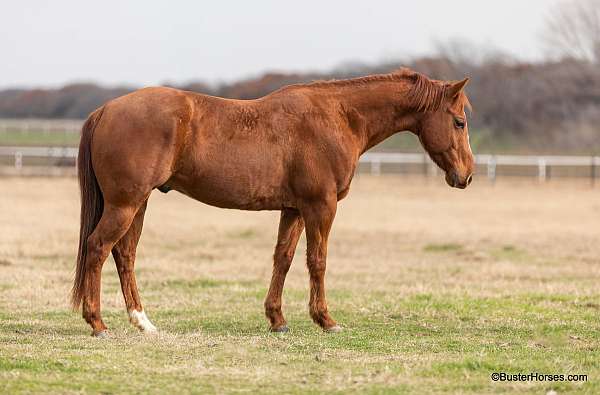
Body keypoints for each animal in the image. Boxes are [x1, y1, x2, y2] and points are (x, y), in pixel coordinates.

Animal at [71, 68, 474, 338]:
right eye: (459, 122)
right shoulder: (320, 206)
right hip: (125, 204)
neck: (338, 117)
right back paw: (97, 322)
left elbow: (283, 258)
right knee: (98, 248)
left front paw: (277, 319)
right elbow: (317, 261)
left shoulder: (294, 209)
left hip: (137, 204)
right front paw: (326, 320)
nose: (467, 176)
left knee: (124, 255)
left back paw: (142, 321)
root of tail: (105, 110)